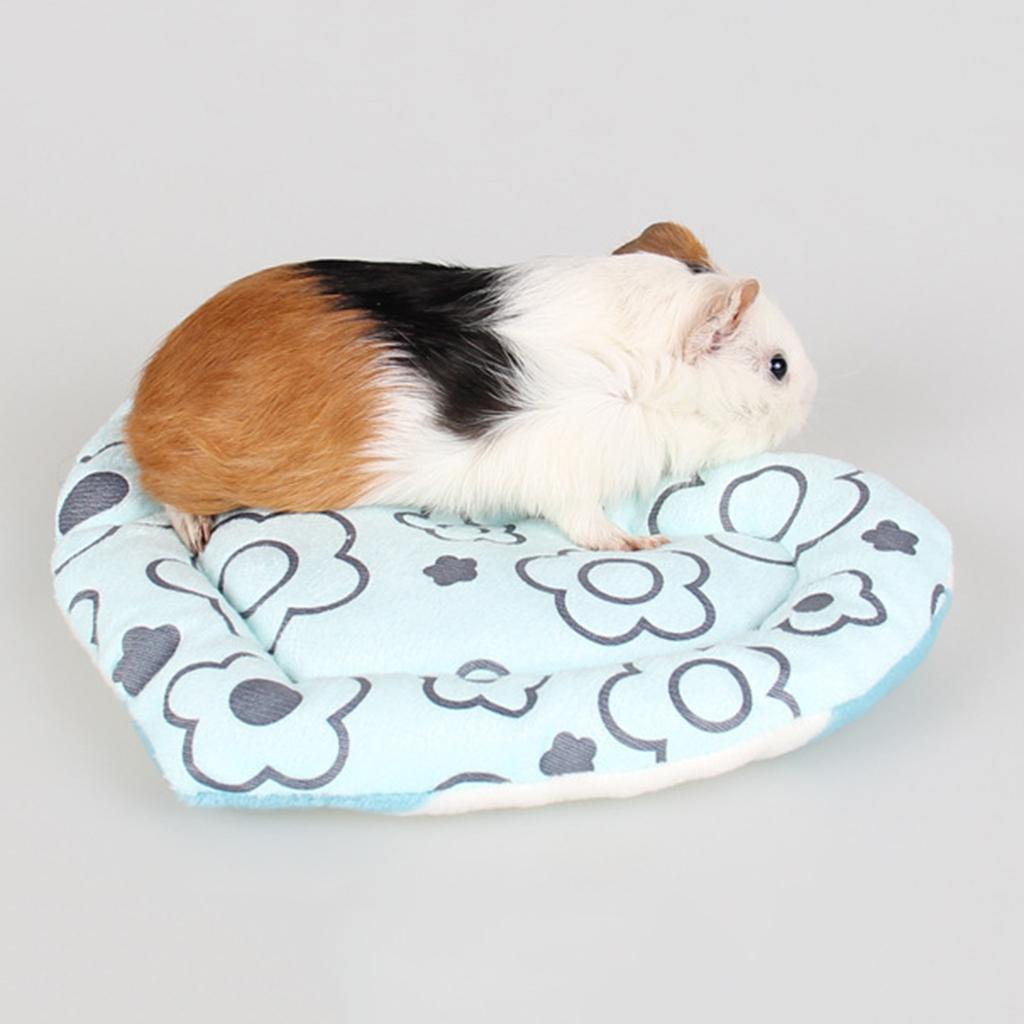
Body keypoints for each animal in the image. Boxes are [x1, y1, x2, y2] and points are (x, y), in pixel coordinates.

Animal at [126, 221, 816, 554]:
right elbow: (589, 525)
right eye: (777, 366)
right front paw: (645, 542)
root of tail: (147, 397)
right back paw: (196, 533)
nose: (811, 396)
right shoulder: (567, 478)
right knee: (167, 493)